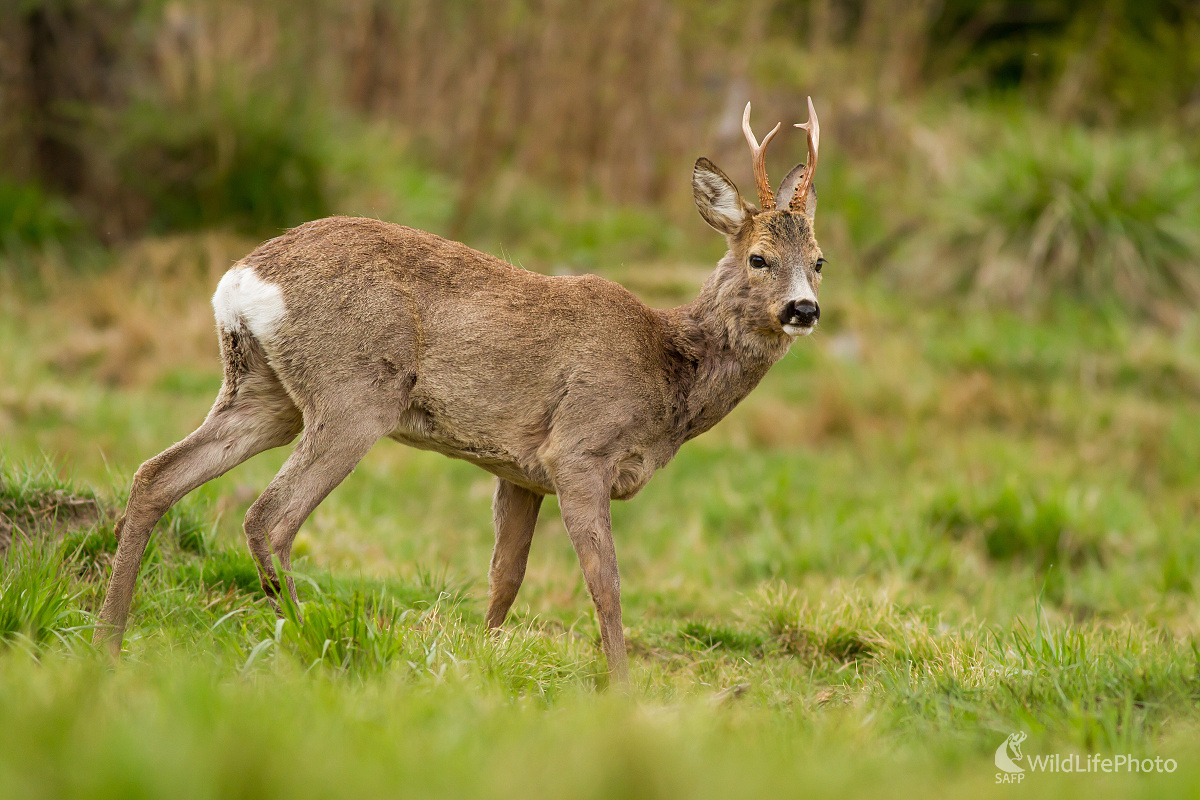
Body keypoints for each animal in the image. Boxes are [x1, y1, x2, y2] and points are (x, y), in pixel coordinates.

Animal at [93, 95, 825, 681]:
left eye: (819, 261)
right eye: (758, 258)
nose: (804, 309)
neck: (670, 372)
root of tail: (242, 281)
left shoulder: (522, 472)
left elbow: (506, 579)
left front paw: (481, 664)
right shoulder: (578, 448)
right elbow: (606, 583)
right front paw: (622, 691)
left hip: (264, 393)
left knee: (156, 473)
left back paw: (109, 641)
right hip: (354, 392)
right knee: (269, 516)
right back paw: (311, 643)